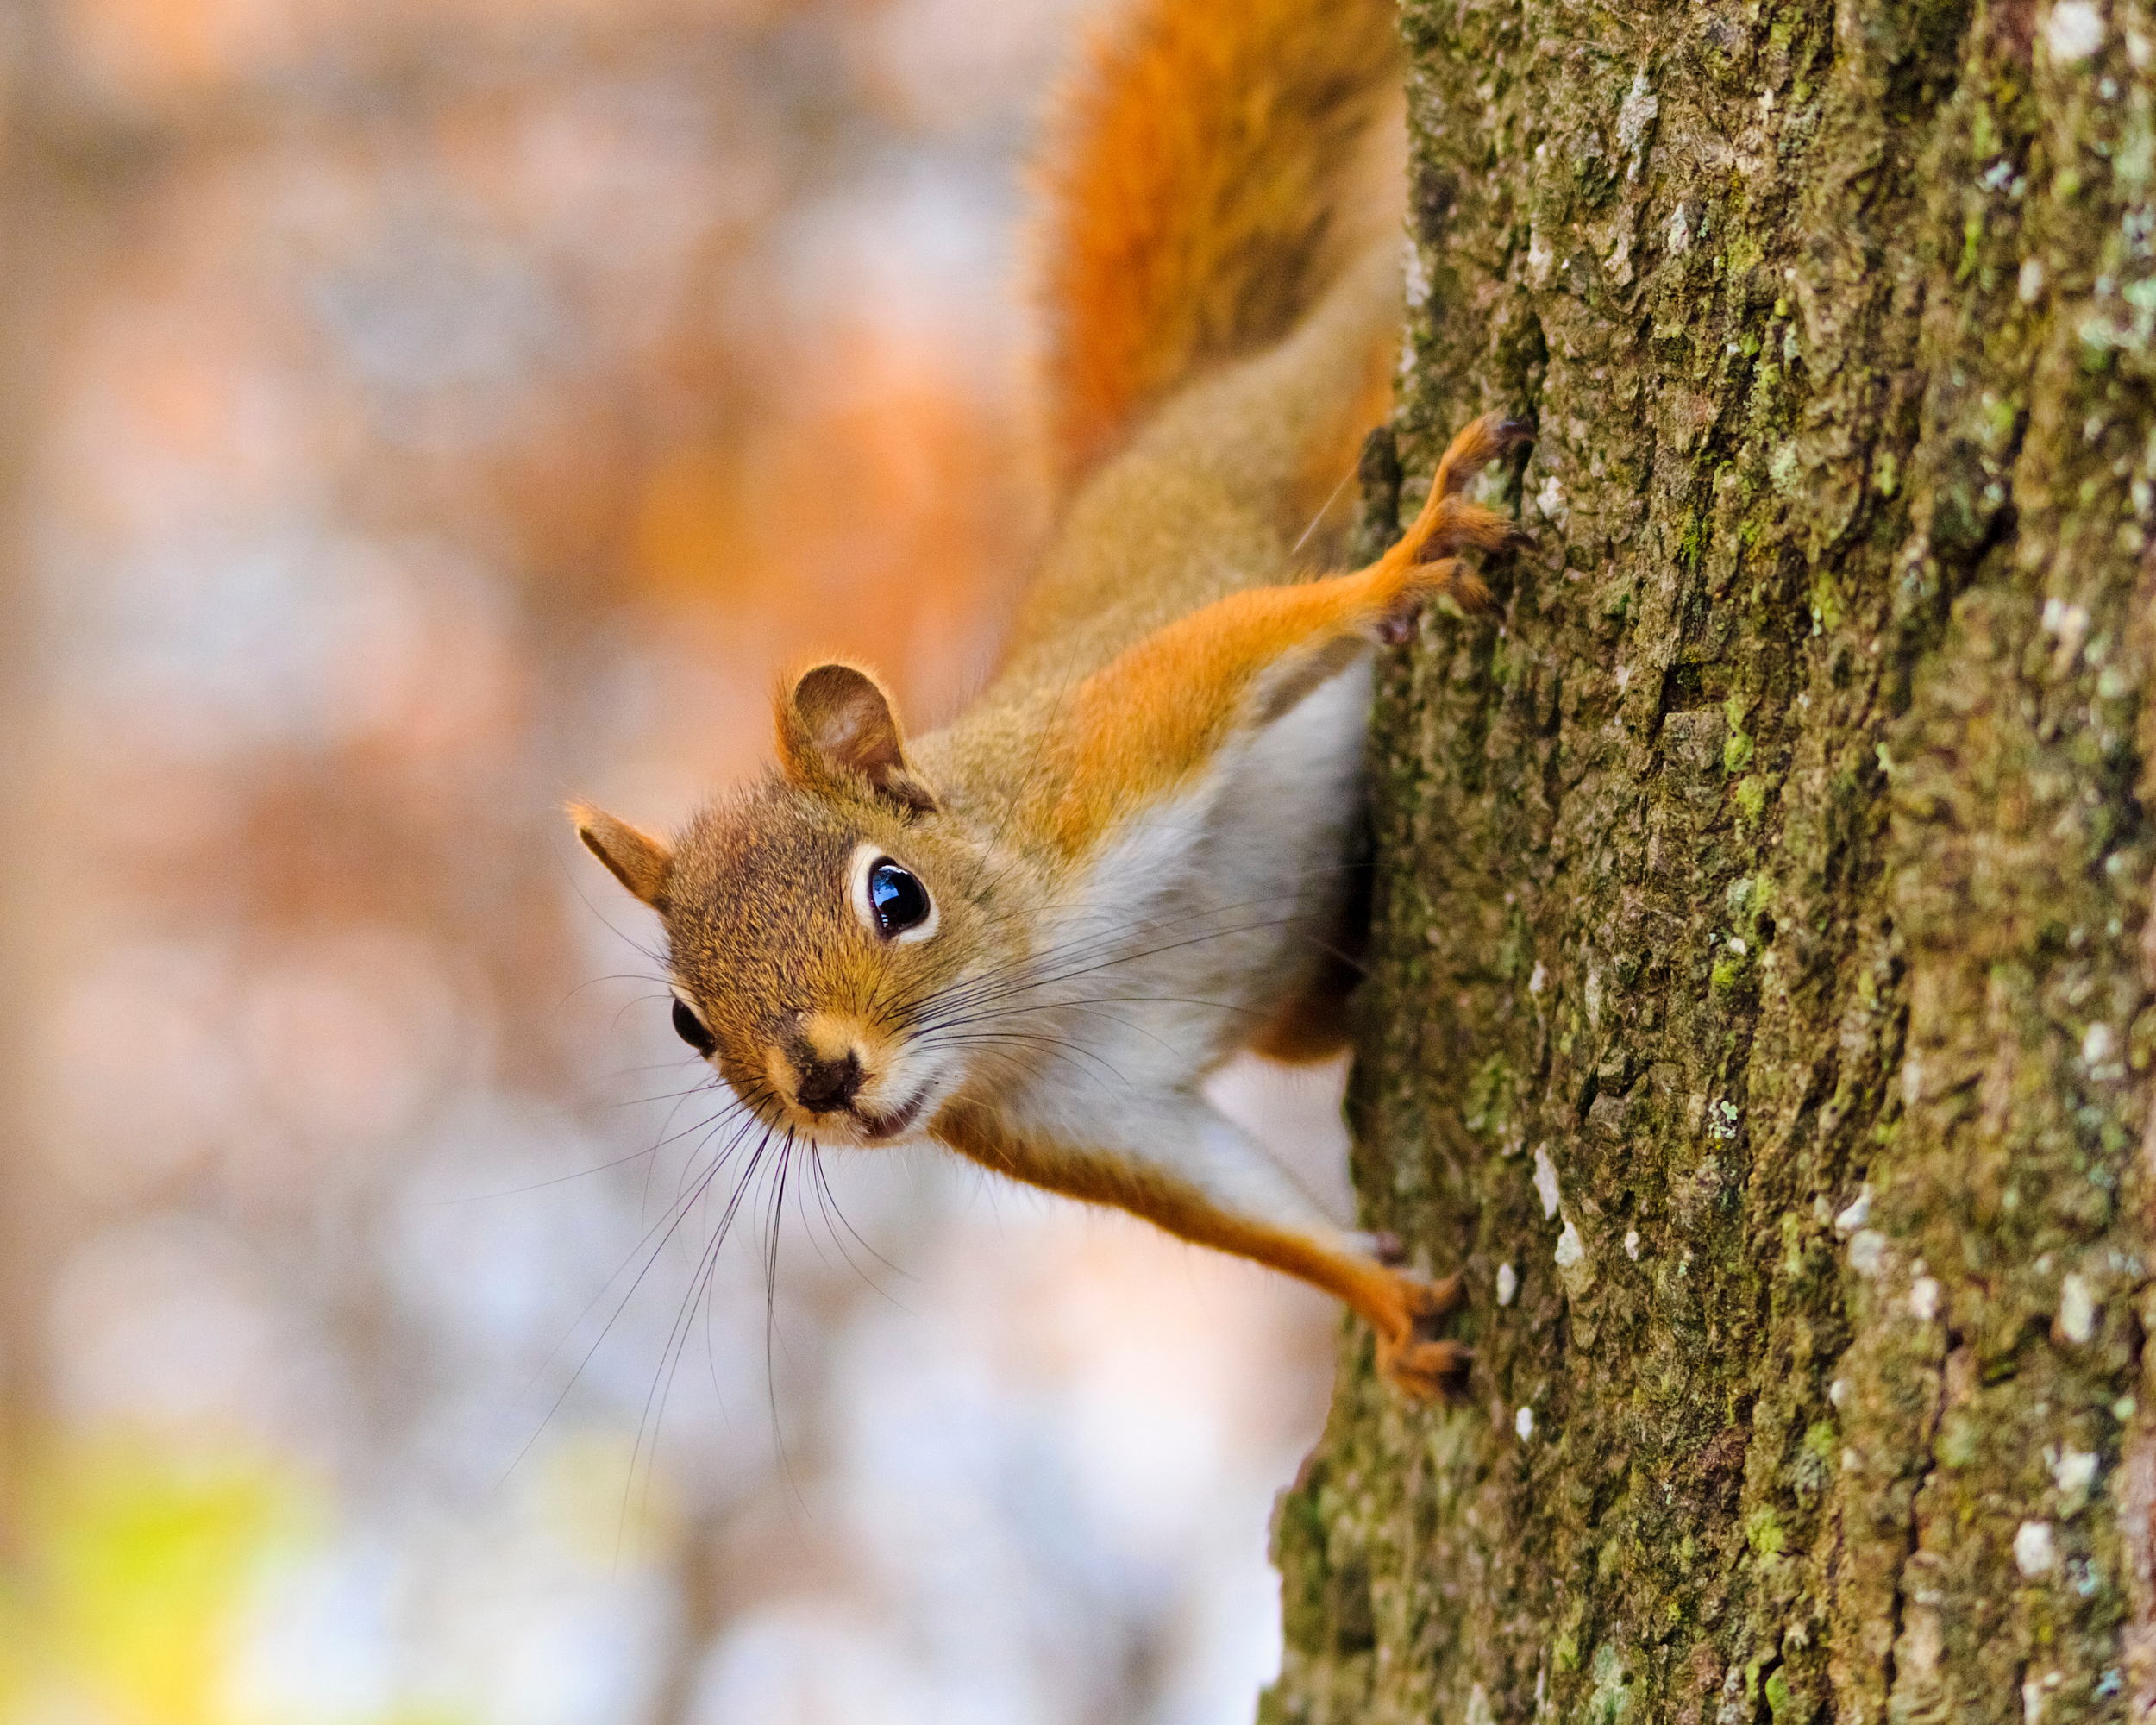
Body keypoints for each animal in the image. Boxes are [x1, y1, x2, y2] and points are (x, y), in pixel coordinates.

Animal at [565, 0, 1526, 1397]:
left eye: (895, 896)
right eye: (688, 1024)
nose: (824, 1080)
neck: (1044, 981)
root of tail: (1147, 437)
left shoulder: (1104, 758)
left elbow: (1235, 652)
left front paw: (1401, 569)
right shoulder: (1073, 1117)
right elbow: (1239, 1210)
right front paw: (1384, 1305)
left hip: (1297, 419)